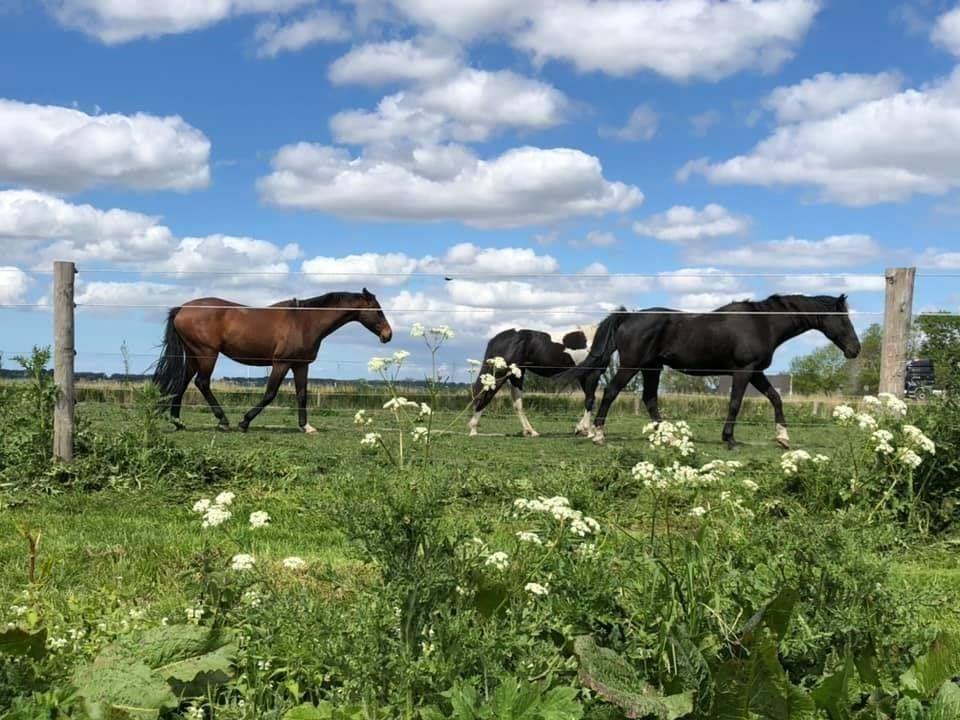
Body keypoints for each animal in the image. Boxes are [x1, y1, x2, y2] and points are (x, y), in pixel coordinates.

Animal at [152, 288, 392, 434]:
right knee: (201, 383)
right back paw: (223, 421)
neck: (305, 320)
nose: (388, 335)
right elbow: (270, 394)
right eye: (377, 310)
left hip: (194, 355)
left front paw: (306, 427)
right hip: (207, 354)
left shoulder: (300, 365)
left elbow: (302, 395)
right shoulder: (281, 363)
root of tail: (182, 309)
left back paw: (178, 422)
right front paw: (244, 422)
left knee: (182, 384)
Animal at [470, 318, 620, 436]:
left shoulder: (583, 376)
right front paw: (587, 431)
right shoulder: (592, 374)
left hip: (516, 374)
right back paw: (473, 429)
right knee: (487, 395)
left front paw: (580, 429)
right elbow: (590, 400)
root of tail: (495, 339)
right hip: (502, 374)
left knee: (517, 403)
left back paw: (530, 431)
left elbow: (589, 399)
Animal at [556, 296, 864, 448]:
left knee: (649, 400)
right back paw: (598, 435)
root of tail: (629, 316)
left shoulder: (756, 372)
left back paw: (669, 437)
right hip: (632, 366)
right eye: (843, 318)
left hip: (652, 368)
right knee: (610, 392)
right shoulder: (744, 372)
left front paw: (783, 438)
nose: (855, 349)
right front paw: (730, 439)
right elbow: (736, 403)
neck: (762, 322)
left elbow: (776, 398)